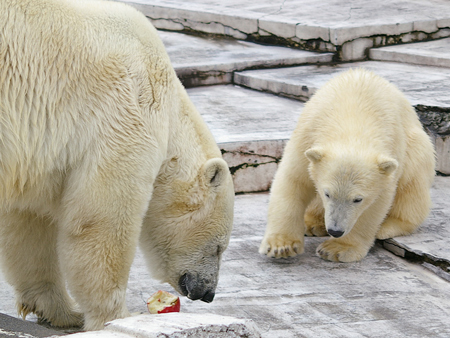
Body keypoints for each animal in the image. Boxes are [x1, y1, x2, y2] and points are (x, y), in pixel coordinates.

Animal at [0, 0, 236, 330]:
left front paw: (62, 311)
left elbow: (26, 223)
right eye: (218, 247)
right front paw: (115, 317)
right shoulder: (128, 111)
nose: (209, 293)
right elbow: (102, 219)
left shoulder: (37, 154)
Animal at [260, 68, 436, 262]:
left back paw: (387, 226)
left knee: (412, 185)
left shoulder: (390, 153)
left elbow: (376, 202)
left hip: (417, 146)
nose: (335, 231)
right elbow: (294, 180)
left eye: (358, 199)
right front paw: (281, 246)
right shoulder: (307, 135)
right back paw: (311, 223)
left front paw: (336, 249)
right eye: (327, 193)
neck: (353, 116)